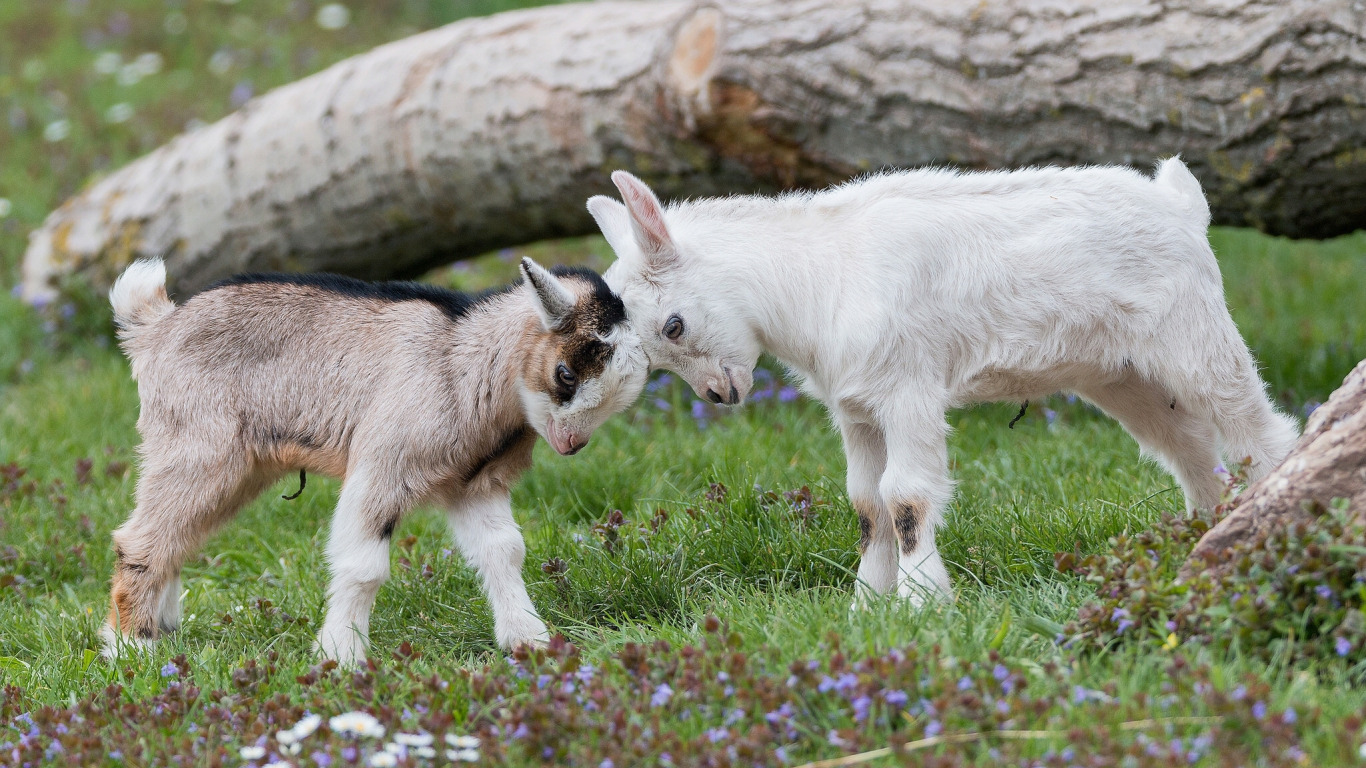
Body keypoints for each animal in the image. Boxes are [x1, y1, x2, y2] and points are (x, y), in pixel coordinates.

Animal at [101, 255, 644, 658]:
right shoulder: (383, 465)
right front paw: (341, 657)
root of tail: (155, 328)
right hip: (197, 448)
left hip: (238, 467)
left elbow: (504, 550)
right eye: (565, 374)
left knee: (178, 537)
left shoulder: (474, 483)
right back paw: (134, 648)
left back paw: (161, 630)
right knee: (141, 538)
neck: (460, 360)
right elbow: (364, 566)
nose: (571, 445)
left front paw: (529, 641)